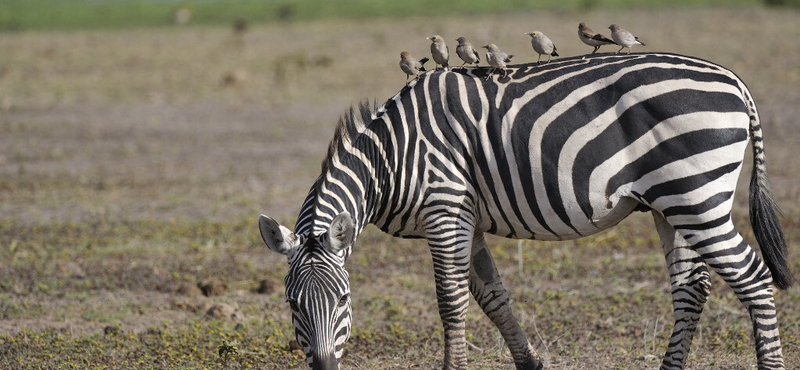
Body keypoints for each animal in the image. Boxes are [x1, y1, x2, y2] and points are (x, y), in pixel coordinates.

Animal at [258, 52, 792, 370]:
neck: (391, 157)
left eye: (345, 301)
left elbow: (451, 302)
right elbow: (492, 296)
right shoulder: (466, 218)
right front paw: (530, 363)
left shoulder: (445, 209)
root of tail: (733, 80)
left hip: (697, 196)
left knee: (752, 276)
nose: (325, 369)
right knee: (692, 287)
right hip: (671, 204)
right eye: (292, 304)